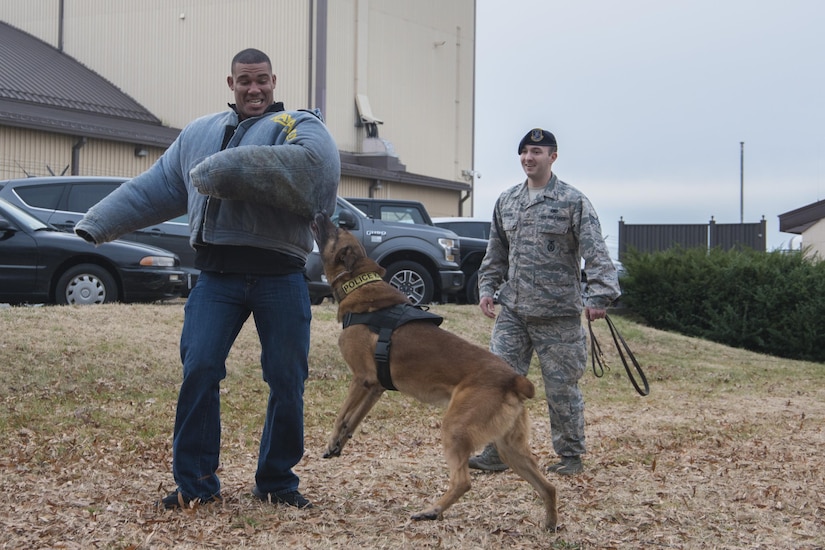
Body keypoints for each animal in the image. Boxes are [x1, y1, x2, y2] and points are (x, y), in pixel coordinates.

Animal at [312, 213, 556, 532]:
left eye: (336, 231)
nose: (321, 214)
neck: (360, 287)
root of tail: (513, 378)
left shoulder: (361, 380)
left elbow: (341, 415)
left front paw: (331, 440)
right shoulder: (375, 387)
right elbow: (353, 419)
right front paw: (339, 443)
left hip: (455, 428)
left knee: (463, 482)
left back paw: (432, 510)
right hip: (509, 448)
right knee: (548, 486)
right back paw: (551, 523)